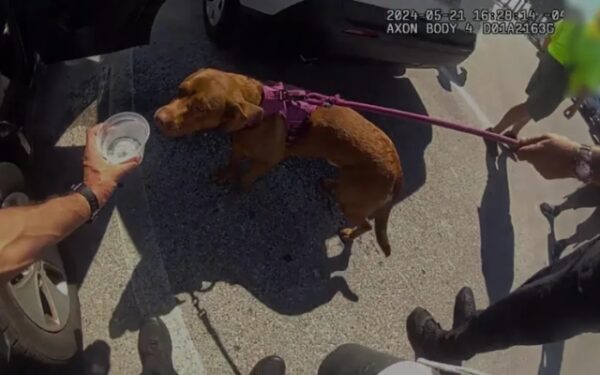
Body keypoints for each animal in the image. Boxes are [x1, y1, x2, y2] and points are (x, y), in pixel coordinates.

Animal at [157, 68, 406, 256]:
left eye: (200, 108)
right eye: (180, 90)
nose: (158, 119)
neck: (260, 105)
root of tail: (397, 169)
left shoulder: (266, 161)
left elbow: (246, 177)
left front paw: (239, 190)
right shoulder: (238, 145)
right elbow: (233, 163)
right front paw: (226, 174)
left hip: (351, 204)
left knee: (367, 224)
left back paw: (349, 233)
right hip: (350, 184)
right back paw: (331, 184)